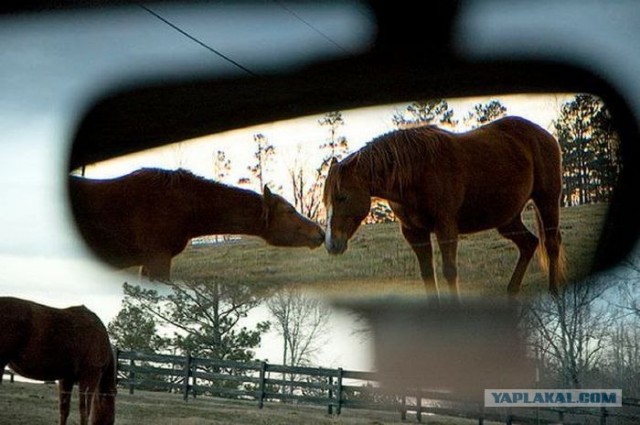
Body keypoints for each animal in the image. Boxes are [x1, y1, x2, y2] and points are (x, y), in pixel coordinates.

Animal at [324, 114, 564, 296]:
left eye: (342, 197)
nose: (331, 244)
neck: (415, 171)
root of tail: (545, 135)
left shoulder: (445, 226)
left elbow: (449, 271)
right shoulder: (414, 232)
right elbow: (427, 274)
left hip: (547, 200)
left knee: (551, 243)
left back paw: (554, 291)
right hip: (507, 218)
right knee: (529, 244)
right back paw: (512, 290)